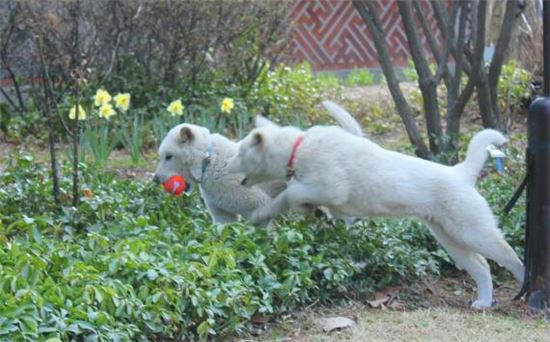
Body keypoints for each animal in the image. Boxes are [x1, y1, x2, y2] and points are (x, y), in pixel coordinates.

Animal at [229, 100, 528, 308]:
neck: (298, 148)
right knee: (482, 266)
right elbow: (308, 202)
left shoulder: (331, 188)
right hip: (450, 237)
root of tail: (461, 173)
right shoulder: (332, 201)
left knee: (510, 257)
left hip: (473, 231)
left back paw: (525, 289)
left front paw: (262, 214)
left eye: (241, 152)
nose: (227, 164)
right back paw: (483, 302)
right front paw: (310, 211)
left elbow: (289, 193)